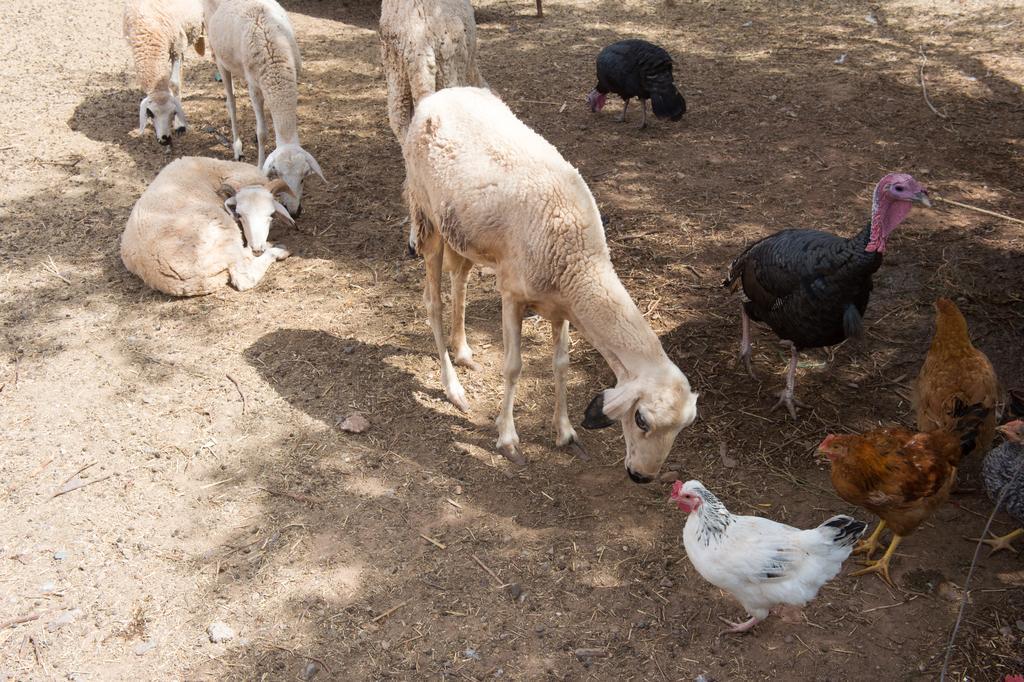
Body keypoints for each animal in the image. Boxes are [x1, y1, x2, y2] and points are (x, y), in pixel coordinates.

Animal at [122, 0, 204, 146]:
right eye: (150, 113)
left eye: (174, 112)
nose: (165, 139)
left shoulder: (177, 45)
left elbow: (174, 83)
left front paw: (180, 125)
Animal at [122, 156, 296, 294]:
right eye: (239, 215)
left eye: (271, 215)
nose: (257, 249)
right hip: (225, 232)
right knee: (244, 278)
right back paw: (279, 250)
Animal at [203, 0, 323, 215]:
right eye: (279, 175)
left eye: (303, 178)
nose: (294, 211)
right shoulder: (254, 87)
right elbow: (262, 132)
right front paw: (259, 166)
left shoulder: (293, 78)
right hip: (218, 55)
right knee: (231, 102)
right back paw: (237, 147)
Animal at [403, 87, 700, 481]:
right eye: (641, 419)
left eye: (683, 429)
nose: (642, 476)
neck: (581, 262)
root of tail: (439, 95)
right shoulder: (512, 294)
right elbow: (513, 367)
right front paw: (508, 439)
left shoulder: (562, 308)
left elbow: (561, 364)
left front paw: (566, 433)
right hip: (426, 216)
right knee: (432, 301)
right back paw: (453, 388)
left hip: (462, 232)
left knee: (460, 278)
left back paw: (464, 350)